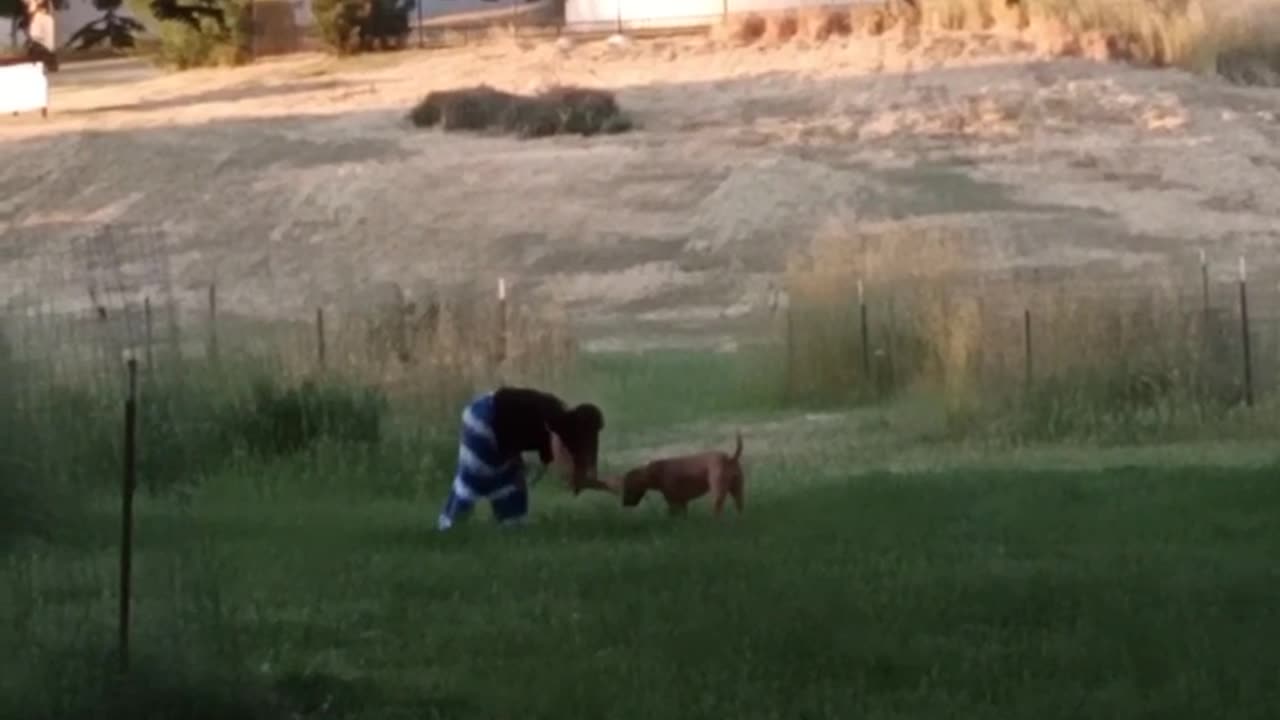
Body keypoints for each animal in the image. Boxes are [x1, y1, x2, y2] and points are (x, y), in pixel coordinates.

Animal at [606, 430, 742, 515]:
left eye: (627, 487)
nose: (624, 504)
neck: (652, 472)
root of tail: (730, 458)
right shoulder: (682, 502)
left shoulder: (673, 502)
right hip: (737, 491)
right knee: (739, 508)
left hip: (718, 494)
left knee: (717, 511)